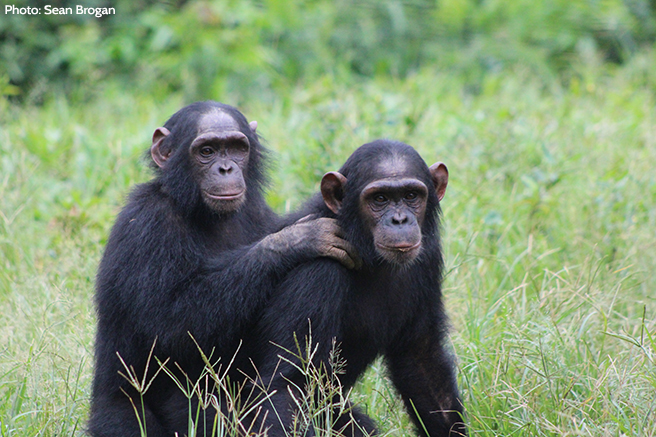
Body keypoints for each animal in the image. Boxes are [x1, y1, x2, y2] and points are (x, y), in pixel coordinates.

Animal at [87, 101, 358, 436]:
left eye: (236, 148)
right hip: (118, 420)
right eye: (207, 151)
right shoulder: (146, 223)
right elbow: (172, 321)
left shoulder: (259, 212)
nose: (226, 168)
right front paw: (297, 239)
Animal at [251, 140, 466, 436]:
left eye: (411, 195)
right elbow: (288, 385)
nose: (400, 220)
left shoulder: (428, 257)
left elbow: (423, 363)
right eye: (380, 199)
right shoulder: (316, 273)